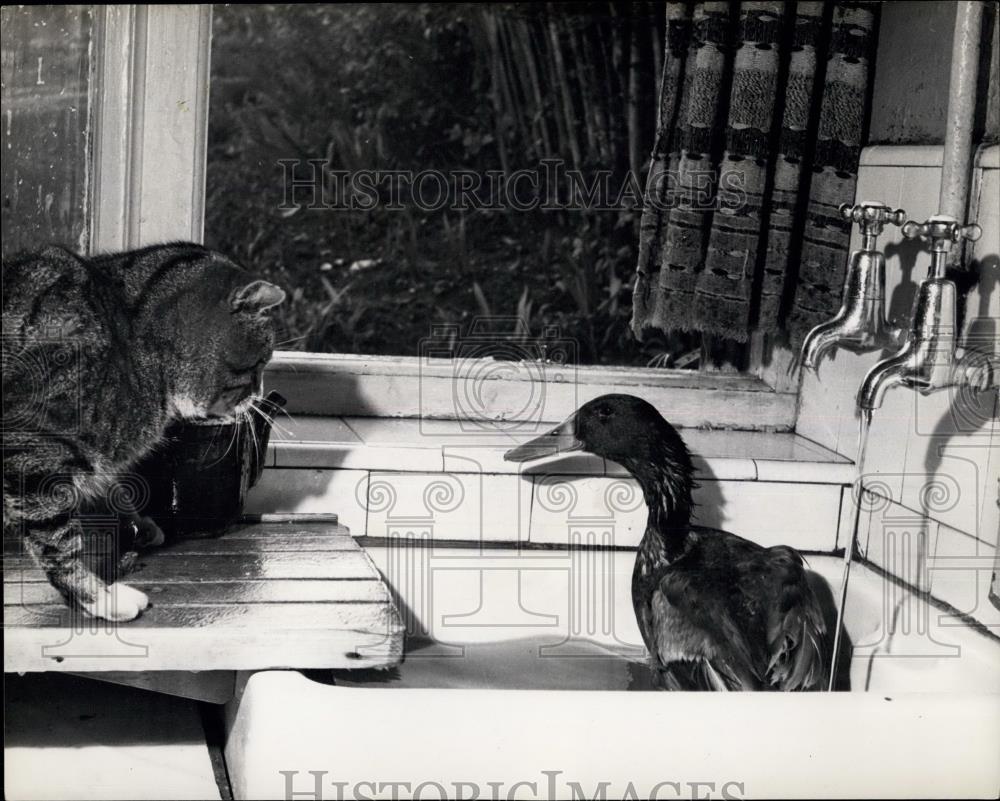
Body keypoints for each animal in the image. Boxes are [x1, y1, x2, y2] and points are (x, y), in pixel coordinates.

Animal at [3, 241, 286, 620]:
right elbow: (58, 542)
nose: (259, 393)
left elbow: (109, 485)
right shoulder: (33, 446)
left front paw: (136, 521)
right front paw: (97, 596)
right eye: (259, 365)